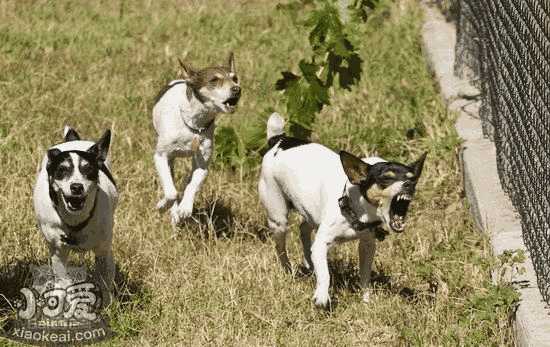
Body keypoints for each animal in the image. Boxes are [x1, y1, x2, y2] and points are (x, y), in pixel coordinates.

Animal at [33, 128, 118, 308]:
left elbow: (104, 281)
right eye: (62, 170)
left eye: (88, 169)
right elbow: (64, 280)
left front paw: (106, 306)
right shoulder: (58, 252)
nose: (76, 187)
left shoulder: (103, 252)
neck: (75, 220)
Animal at [154, 52, 243, 226]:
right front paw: (162, 206)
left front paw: (185, 208)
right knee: (172, 183)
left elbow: (192, 185)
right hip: (170, 158)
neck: (195, 125)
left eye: (235, 78)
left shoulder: (202, 165)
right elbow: (171, 192)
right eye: (214, 80)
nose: (237, 89)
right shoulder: (160, 156)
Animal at [260, 113, 430, 308]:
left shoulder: (367, 245)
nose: (409, 184)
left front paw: (366, 300)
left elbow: (365, 275)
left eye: (413, 178)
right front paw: (322, 296)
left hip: (310, 211)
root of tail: (278, 140)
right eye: (386, 178)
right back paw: (288, 270)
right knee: (281, 247)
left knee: (304, 229)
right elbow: (325, 274)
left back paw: (309, 263)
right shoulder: (322, 243)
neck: (353, 207)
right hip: (278, 217)